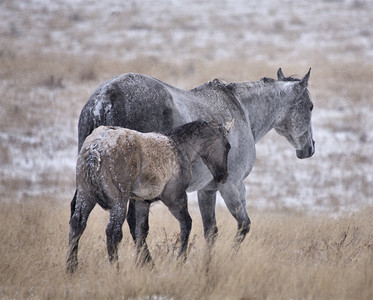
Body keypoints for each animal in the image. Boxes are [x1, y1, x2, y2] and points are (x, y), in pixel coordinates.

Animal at [65, 119, 231, 272]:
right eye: (228, 146)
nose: (223, 176)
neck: (180, 149)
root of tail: (96, 147)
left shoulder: (142, 201)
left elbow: (141, 232)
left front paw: (141, 264)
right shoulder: (175, 197)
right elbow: (186, 224)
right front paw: (180, 260)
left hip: (85, 195)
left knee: (77, 224)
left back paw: (71, 267)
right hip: (119, 201)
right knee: (113, 232)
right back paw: (116, 270)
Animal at [73, 67, 314, 252]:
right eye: (310, 107)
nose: (310, 148)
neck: (241, 112)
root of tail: (103, 100)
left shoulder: (207, 190)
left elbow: (211, 231)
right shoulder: (232, 186)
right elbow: (243, 226)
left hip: (88, 187)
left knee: (78, 220)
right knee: (132, 226)